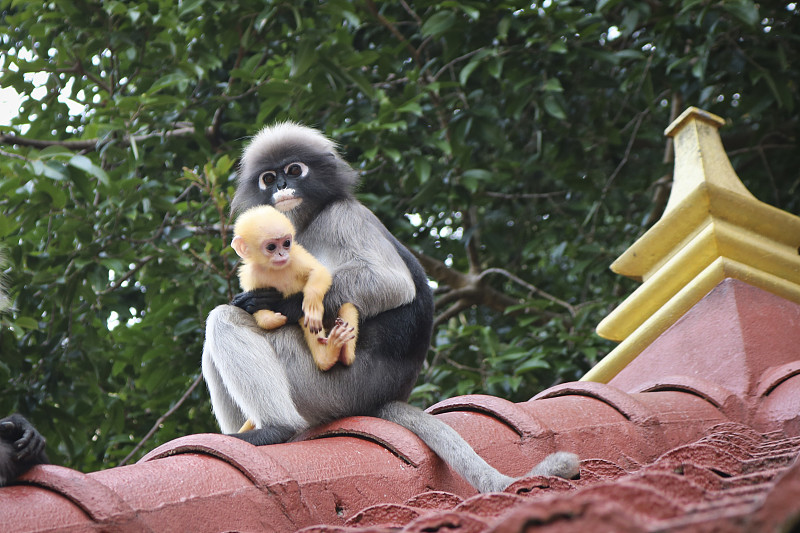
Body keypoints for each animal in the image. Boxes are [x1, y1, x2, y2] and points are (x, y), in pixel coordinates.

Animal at [230, 204, 358, 374]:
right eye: (271, 247)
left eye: (286, 243)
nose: (282, 253)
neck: (274, 268)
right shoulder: (251, 276)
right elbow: (256, 308)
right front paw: (275, 319)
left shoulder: (295, 256)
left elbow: (319, 271)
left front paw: (312, 306)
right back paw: (328, 357)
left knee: (345, 307)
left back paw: (338, 354)